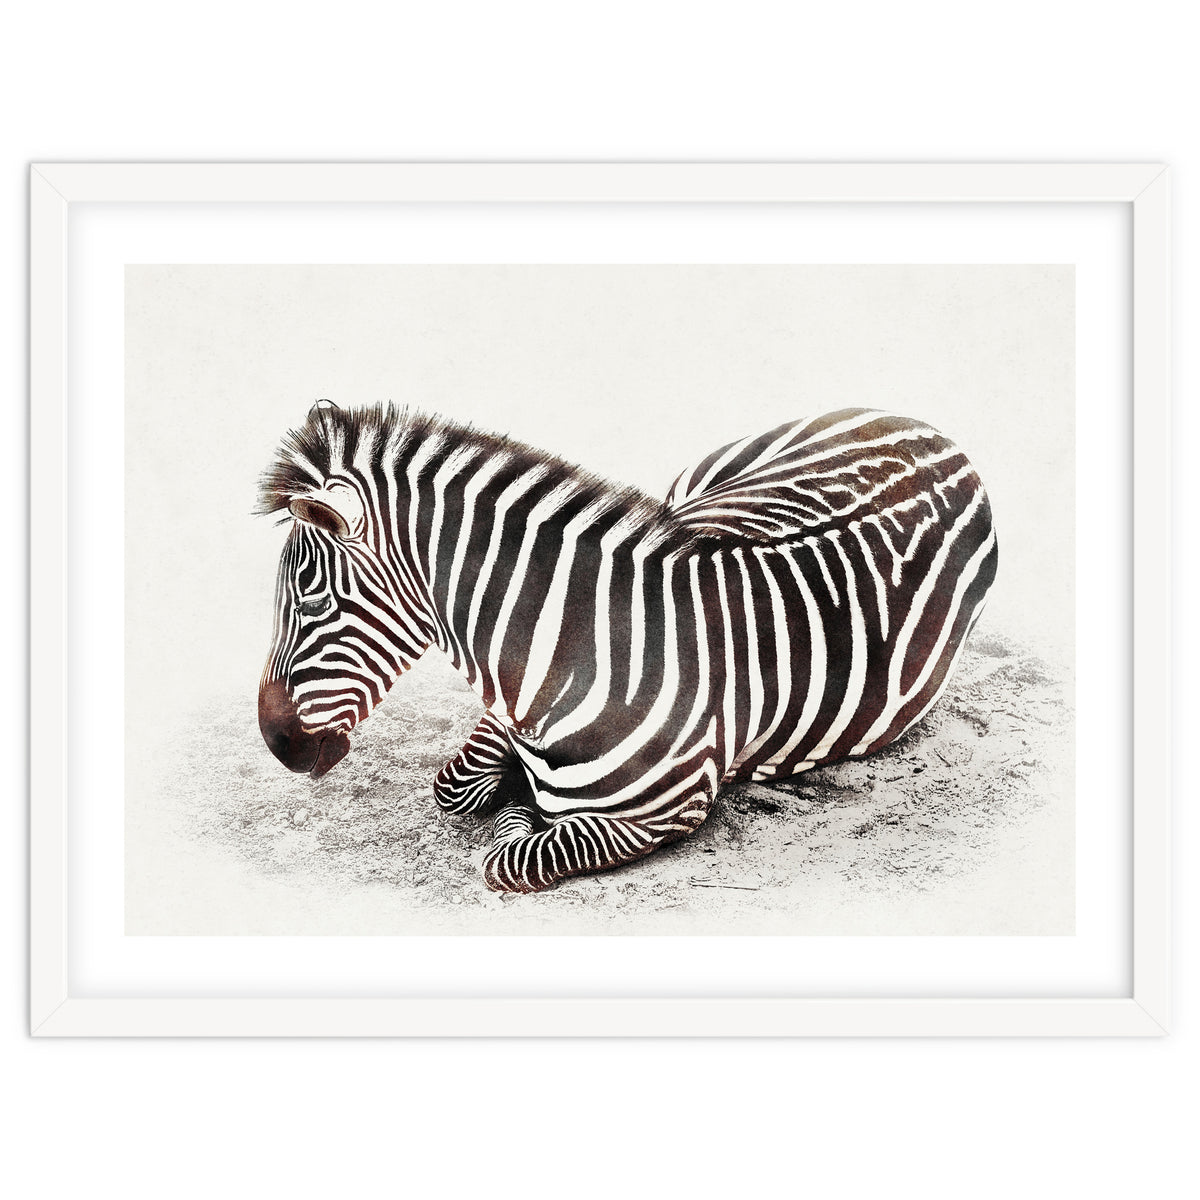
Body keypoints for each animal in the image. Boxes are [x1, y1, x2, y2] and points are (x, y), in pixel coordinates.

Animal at [258, 400, 998, 893]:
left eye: (313, 601)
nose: (277, 744)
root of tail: (940, 435)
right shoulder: (504, 711)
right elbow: (456, 786)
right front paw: (511, 788)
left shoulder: (667, 812)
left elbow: (511, 855)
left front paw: (520, 806)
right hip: (694, 488)